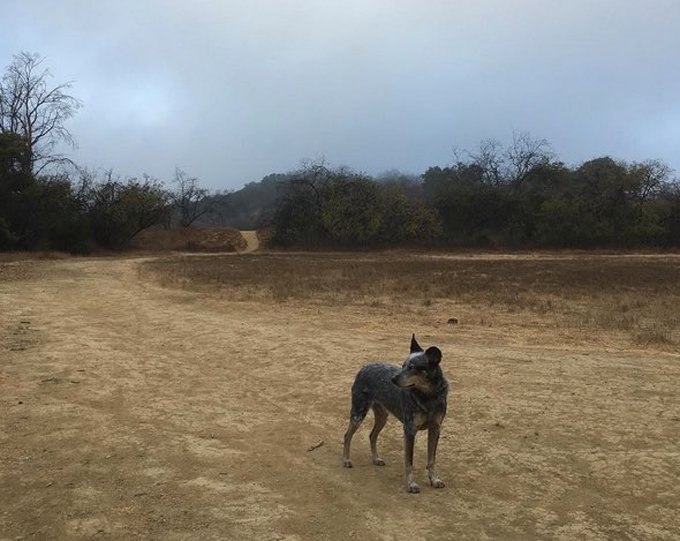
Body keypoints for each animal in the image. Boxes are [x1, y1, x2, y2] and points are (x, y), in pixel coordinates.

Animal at [342, 332, 448, 492]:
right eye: (403, 366)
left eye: (412, 367)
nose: (392, 379)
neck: (428, 396)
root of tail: (365, 366)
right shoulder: (410, 429)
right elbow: (409, 462)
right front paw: (411, 484)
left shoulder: (435, 428)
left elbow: (431, 459)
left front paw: (434, 479)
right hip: (358, 413)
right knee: (347, 435)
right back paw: (346, 460)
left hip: (382, 417)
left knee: (372, 435)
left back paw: (376, 459)